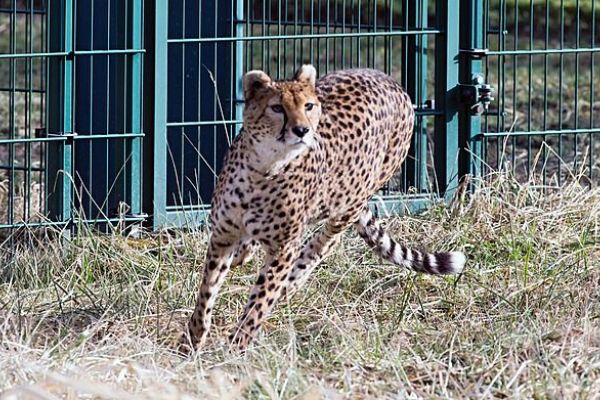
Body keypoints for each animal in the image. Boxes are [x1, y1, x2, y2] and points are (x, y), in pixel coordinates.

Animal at [180, 65, 466, 354]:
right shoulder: (222, 236)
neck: (264, 168)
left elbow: (258, 304)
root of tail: (389, 80)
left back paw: (289, 282)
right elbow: (207, 290)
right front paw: (191, 340)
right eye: (277, 108)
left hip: (349, 203)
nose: (302, 130)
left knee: (322, 245)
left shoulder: (283, 249)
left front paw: (236, 347)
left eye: (308, 105)